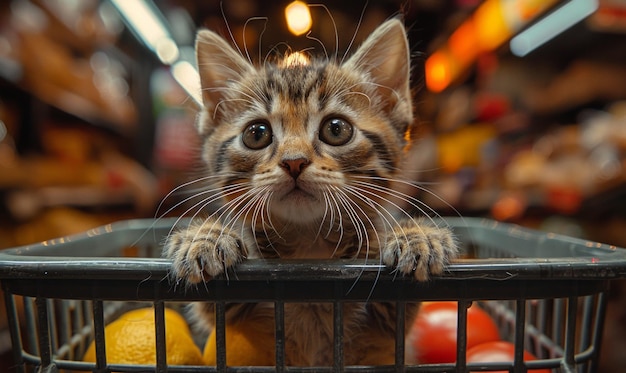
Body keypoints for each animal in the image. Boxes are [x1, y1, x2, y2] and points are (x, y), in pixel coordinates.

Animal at [163, 18, 456, 364]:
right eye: (256, 134)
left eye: (336, 129)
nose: (294, 161)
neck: (309, 249)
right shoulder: (229, 314)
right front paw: (203, 237)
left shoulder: (390, 329)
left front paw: (420, 236)